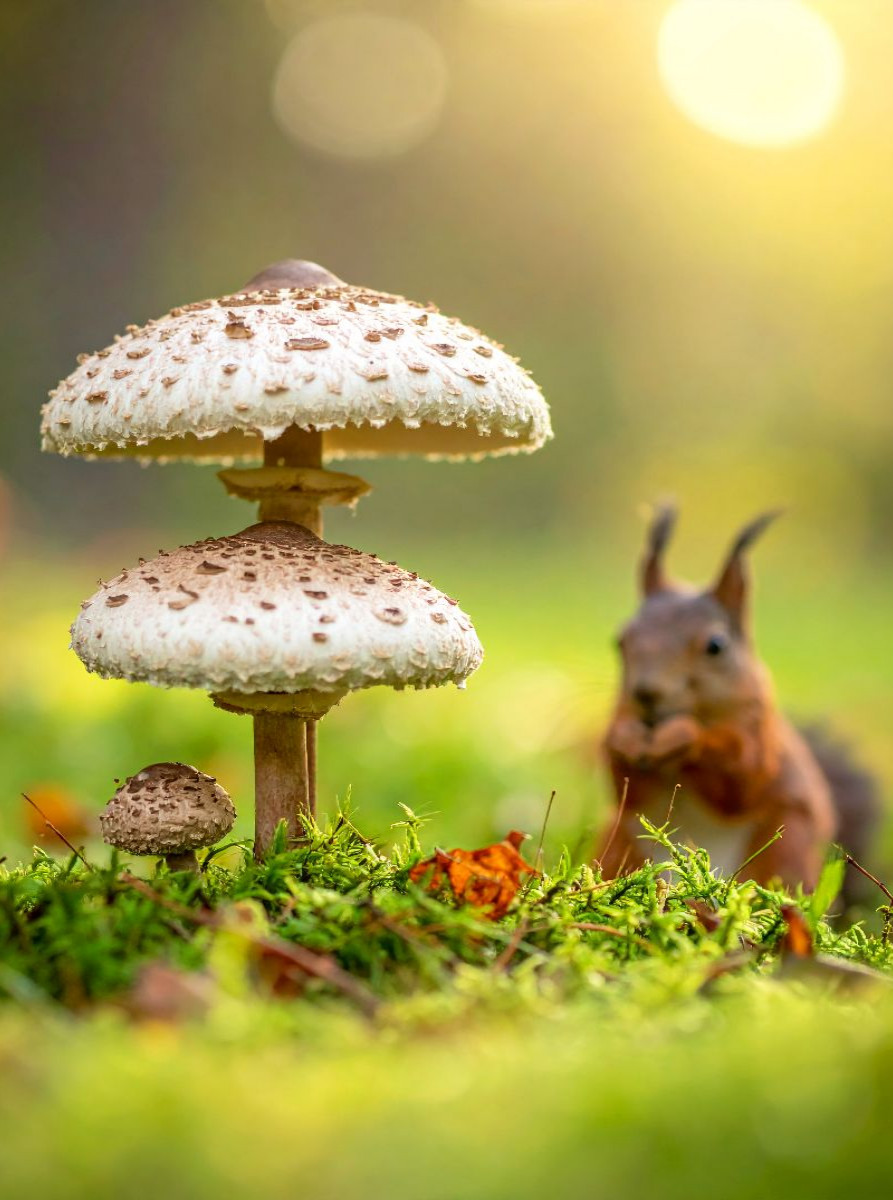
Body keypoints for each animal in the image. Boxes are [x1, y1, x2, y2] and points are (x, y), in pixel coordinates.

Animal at [598, 506, 879, 903]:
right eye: (621, 639)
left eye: (716, 645)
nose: (646, 693)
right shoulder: (622, 714)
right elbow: (624, 783)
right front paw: (623, 740)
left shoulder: (758, 731)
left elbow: (741, 778)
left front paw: (683, 736)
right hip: (621, 841)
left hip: (787, 845)